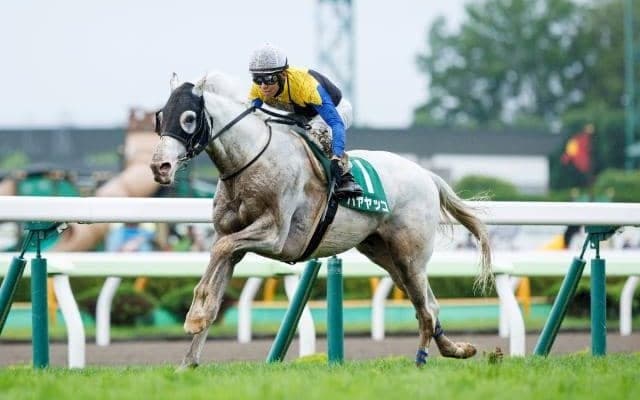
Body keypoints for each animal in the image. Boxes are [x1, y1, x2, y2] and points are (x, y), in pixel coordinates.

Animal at [150, 71, 493, 369]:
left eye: (188, 118)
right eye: (160, 117)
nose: (160, 166)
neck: (250, 160)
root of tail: (425, 174)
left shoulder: (275, 235)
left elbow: (219, 251)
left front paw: (193, 317)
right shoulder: (232, 238)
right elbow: (218, 275)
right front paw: (188, 362)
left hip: (411, 255)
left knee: (425, 308)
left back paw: (422, 359)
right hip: (385, 254)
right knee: (428, 305)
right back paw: (457, 350)